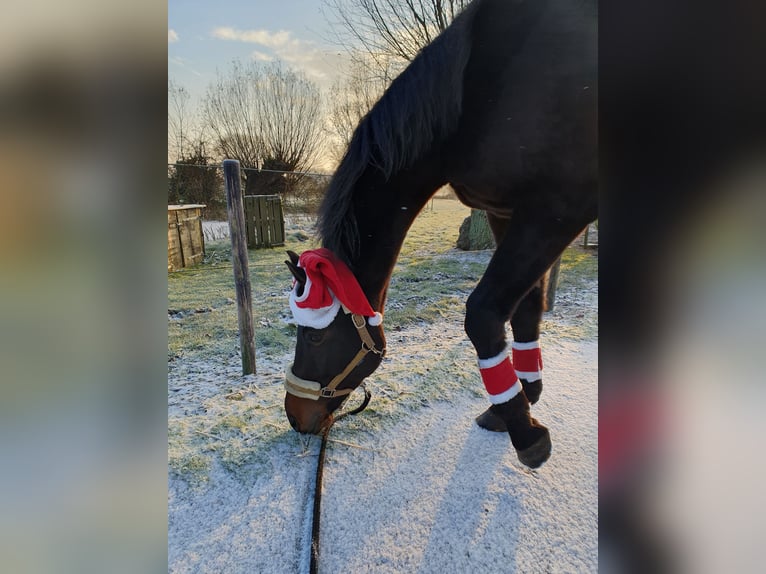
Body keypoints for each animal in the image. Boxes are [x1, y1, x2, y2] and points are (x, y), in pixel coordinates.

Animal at [283, 0, 597, 469]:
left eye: (316, 334)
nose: (295, 416)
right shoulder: (506, 212)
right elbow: (525, 309)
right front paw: (523, 400)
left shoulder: (555, 211)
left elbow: (483, 312)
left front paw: (526, 433)